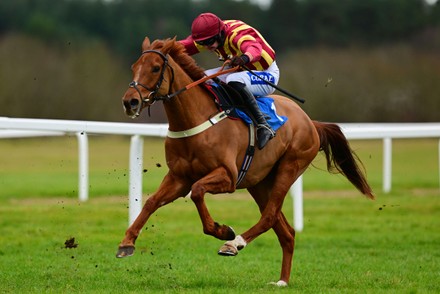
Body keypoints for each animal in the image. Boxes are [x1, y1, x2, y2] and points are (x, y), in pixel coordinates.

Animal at [117, 35, 374, 286]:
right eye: (134, 67)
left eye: (155, 67)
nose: (130, 102)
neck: (196, 120)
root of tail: (311, 122)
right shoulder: (179, 178)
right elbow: (152, 202)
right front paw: (126, 243)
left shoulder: (228, 177)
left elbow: (197, 192)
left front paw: (223, 231)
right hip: (259, 182)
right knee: (285, 230)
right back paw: (282, 281)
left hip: (290, 166)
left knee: (269, 216)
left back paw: (234, 244)